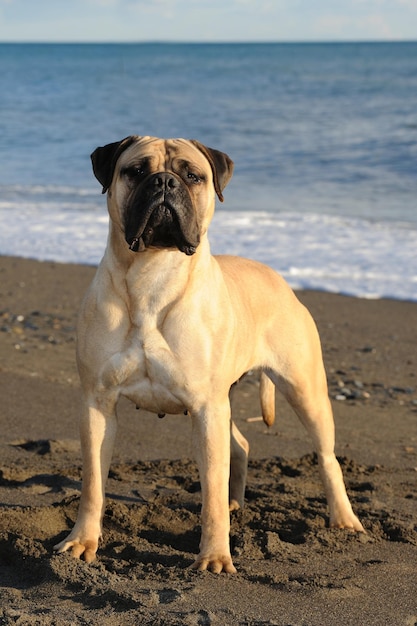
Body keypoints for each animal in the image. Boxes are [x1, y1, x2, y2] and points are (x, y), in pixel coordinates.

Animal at [53, 135, 362, 572]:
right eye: (136, 171)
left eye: (193, 176)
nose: (164, 182)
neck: (153, 272)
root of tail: (277, 278)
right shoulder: (98, 402)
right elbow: (94, 483)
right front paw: (82, 541)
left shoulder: (206, 407)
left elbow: (210, 492)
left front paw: (215, 556)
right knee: (241, 446)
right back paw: (236, 502)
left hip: (304, 390)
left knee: (326, 456)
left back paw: (343, 519)